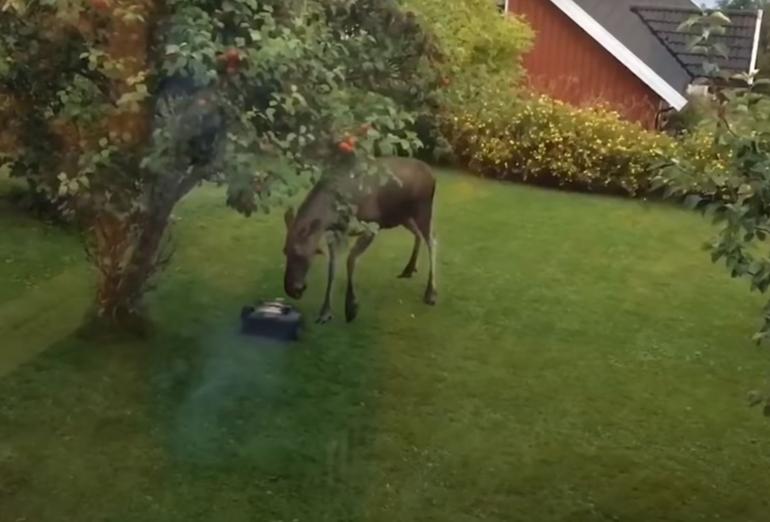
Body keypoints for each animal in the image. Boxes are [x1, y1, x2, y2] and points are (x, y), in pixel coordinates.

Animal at [282, 157, 437, 324]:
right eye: (284, 250)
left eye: (299, 252)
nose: (292, 289)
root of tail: (432, 175)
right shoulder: (335, 234)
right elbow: (332, 268)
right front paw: (325, 312)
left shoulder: (372, 226)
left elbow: (350, 260)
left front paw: (351, 307)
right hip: (403, 216)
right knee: (418, 235)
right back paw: (409, 269)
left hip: (423, 210)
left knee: (432, 240)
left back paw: (431, 293)